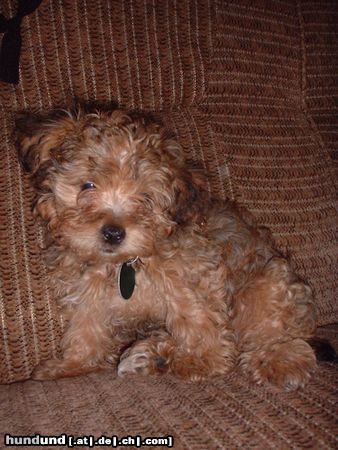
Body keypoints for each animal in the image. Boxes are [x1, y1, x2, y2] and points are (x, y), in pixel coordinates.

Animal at [15, 106, 316, 390]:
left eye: (146, 198)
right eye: (87, 185)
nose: (113, 233)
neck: (125, 264)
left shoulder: (191, 275)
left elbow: (195, 318)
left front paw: (201, 360)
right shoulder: (87, 290)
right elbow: (86, 326)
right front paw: (73, 364)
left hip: (268, 282)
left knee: (276, 330)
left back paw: (277, 360)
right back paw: (153, 356)